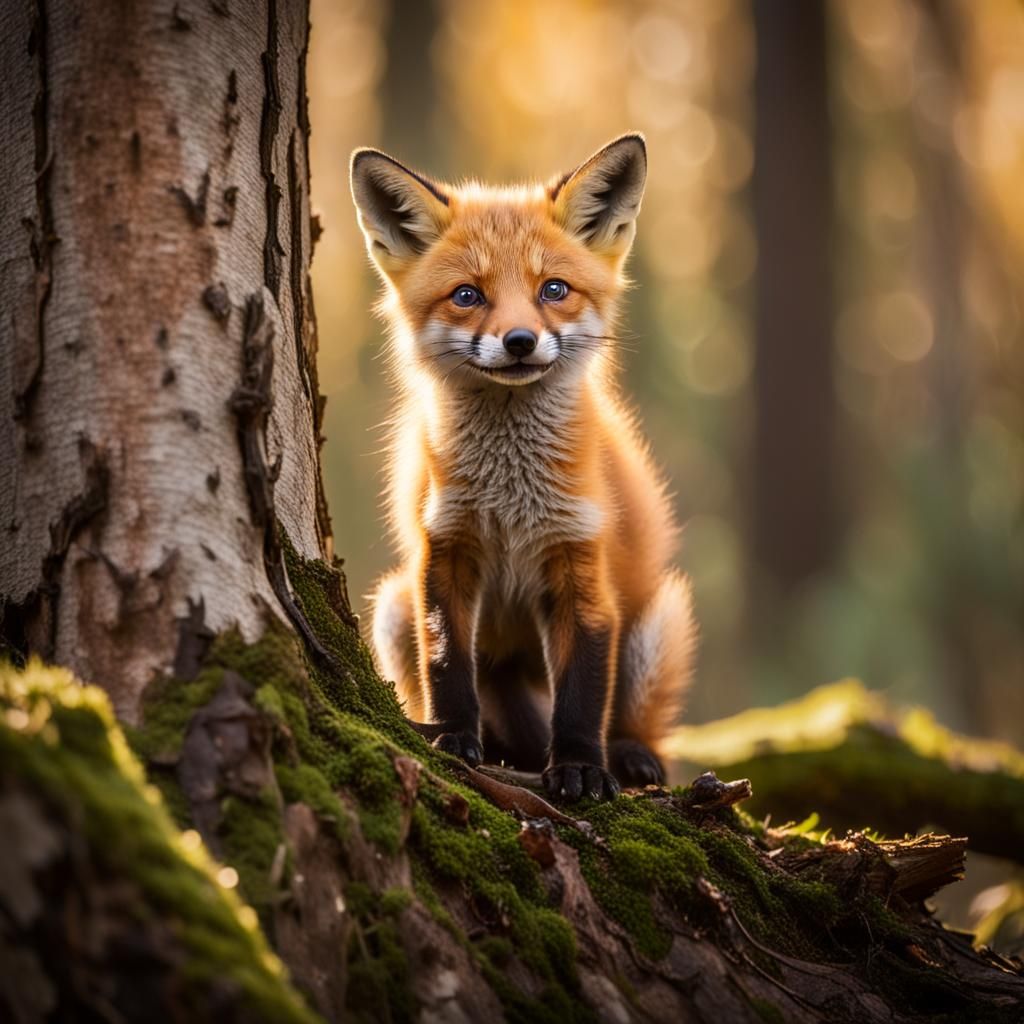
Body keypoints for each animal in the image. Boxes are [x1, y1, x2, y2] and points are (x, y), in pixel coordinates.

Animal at [349, 133, 696, 801]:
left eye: (553, 290)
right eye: (467, 295)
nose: (518, 341)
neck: (511, 498)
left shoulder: (580, 561)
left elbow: (582, 690)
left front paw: (581, 767)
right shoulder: (444, 554)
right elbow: (446, 662)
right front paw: (453, 737)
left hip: (656, 623)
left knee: (636, 724)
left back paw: (629, 757)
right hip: (393, 605)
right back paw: (502, 751)